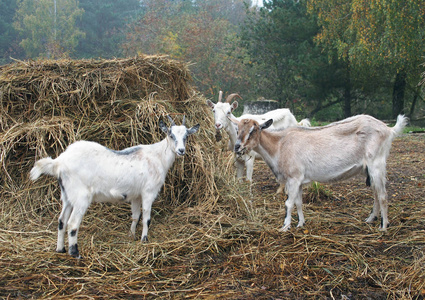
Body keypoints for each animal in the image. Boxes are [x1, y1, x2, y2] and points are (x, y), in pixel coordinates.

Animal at [30, 115, 200, 258]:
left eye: (186, 136)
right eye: (171, 135)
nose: (181, 151)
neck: (157, 157)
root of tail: (59, 162)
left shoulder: (135, 195)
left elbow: (135, 216)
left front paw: (131, 236)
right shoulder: (148, 192)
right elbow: (146, 218)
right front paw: (144, 239)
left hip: (67, 195)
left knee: (61, 220)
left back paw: (60, 249)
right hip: (81, 196)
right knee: (72, 223)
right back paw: (75, 253)